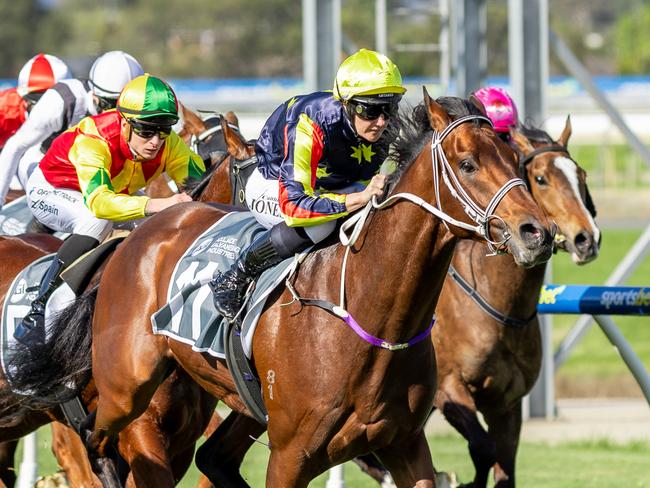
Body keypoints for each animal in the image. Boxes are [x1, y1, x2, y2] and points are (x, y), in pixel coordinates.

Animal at [6, 92, 552, 488]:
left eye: (516, 160)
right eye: (468, 164)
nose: (537, 233)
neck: (372, 316)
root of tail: (135, 236)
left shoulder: (405, 444)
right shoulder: (291, 456)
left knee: (211, 459)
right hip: (127, 389)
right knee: (95, 443)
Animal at [430, 118, 596, 488]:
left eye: (580, 176)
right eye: (541, 178)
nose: (587, 239)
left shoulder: (506, 403)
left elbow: (503, 464)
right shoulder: (447, 386)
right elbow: (482, 449)